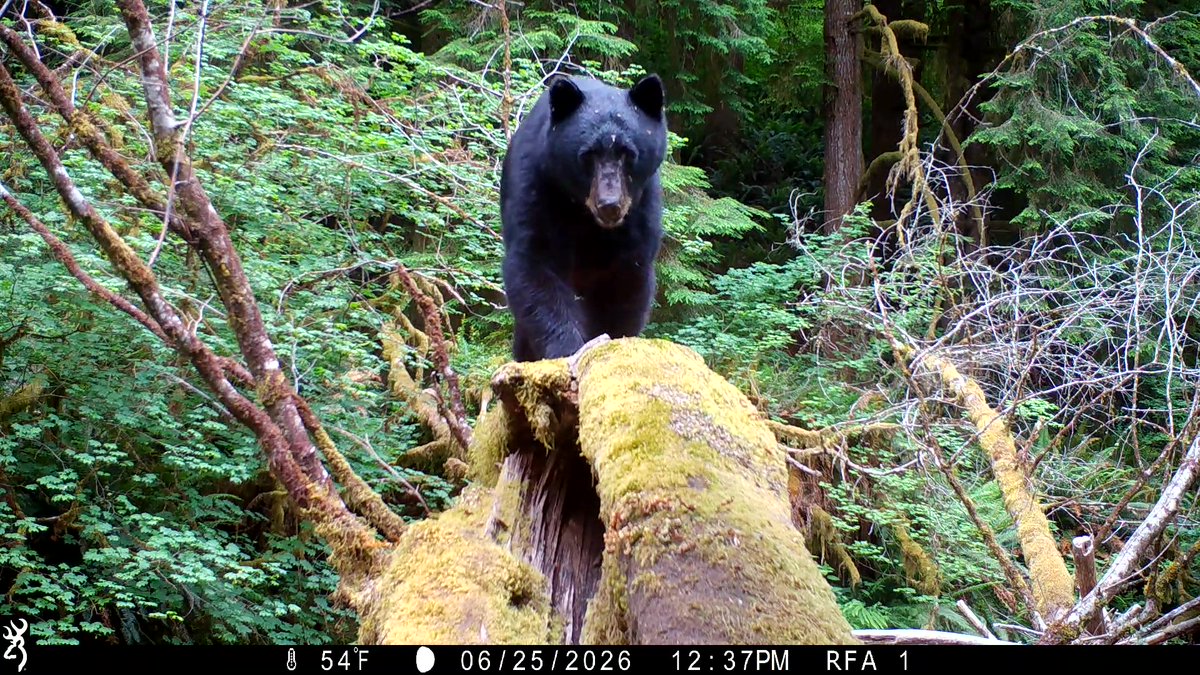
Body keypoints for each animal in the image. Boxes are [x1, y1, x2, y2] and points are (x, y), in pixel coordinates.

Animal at [499, 73, 669, 362]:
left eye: (628, 153)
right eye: (588, 155)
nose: (609, 205)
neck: (585, 216)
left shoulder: (641, 209)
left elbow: (628, 280)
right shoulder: (537, 185)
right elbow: (535, 267)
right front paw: (567, 348)